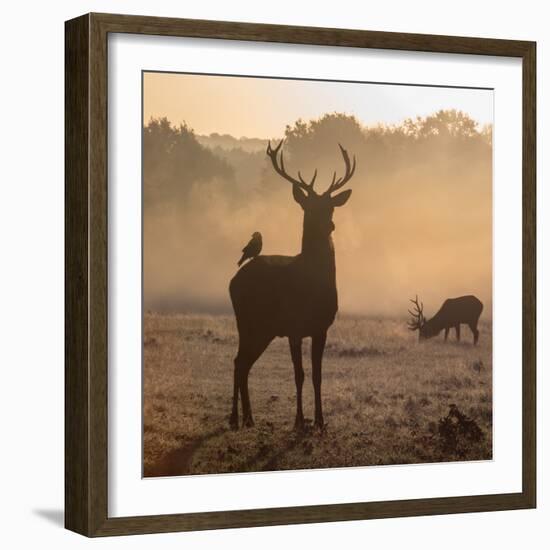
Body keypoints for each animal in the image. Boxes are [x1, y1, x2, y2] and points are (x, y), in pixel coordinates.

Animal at [229, 141, 358, 432]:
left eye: (331, 207)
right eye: (308, 207)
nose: (329, 225)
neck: (312, 286)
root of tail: (233, 281)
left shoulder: (321, 327)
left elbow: (317, 375)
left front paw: (320, 421)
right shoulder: (294, 328)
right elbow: (299, 374)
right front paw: (299, 420)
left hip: (262, 329)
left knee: (243, 363)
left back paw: (248, 418)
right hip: (248, 321)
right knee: (239, 362)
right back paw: (234, 419)